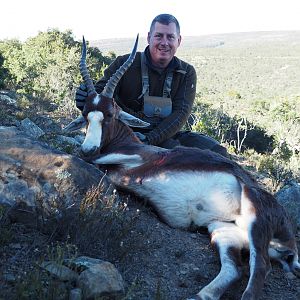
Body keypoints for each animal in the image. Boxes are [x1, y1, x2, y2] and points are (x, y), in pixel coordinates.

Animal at [64, 35, 298, 300]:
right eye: (86, 114)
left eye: (110, 114)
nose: (89, 148)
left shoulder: (140, 157)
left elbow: (99, 162)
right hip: (223, 231)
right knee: (235, 269)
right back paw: (200, 295)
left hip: (253, 217)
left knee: (260, 268)